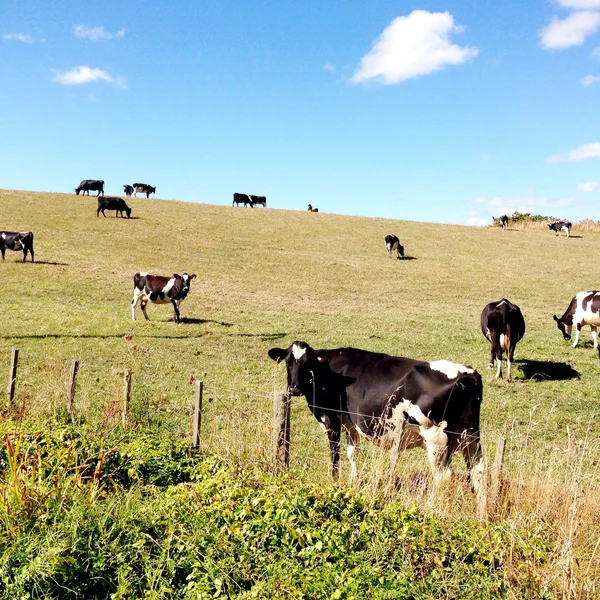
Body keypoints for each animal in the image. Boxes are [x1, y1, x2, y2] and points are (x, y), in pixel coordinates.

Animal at [270, 342, 486, 492]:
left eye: (307, 364)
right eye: (288, 362)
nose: (294, 388)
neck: (329, 372)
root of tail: (465, 374)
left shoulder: (331, 421)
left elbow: (335, 456)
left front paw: (334, 482)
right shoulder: (351, 424)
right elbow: (353, 452)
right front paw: (353, 481)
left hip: (436, 438)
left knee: (443, 476)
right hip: (469, 435)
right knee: (479, 472)